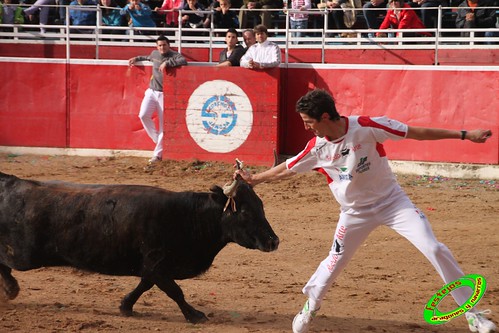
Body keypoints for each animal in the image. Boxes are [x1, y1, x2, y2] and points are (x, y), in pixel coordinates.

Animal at [0, 171, 280, 322]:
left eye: (261, 206)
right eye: (244, 211)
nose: (273, 241)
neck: (187, 216)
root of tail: (10, 181)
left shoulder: (153, 266)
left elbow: (145, 285)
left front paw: (125, 306)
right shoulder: (157, 264)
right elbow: (175, 291)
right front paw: (194, 315)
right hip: (23, 254)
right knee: (5, 263)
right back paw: (11, 290)